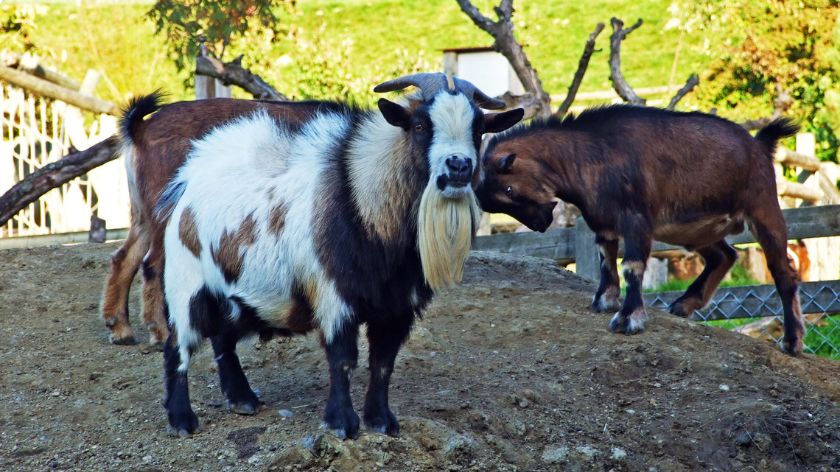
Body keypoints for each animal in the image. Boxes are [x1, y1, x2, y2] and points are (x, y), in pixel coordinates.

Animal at [120, 74, 524, 438]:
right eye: (421, 124)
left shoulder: (398, 307)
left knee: (223, 338)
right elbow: (342, 359)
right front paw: (342, 423)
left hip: (233, 290)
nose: (458, 166)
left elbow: (383, 362)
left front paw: (381, 421)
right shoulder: (335, 295)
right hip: (186, 283)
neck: (361, 200)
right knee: (178, 346)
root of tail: (188, 180)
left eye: (478, 128)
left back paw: (242, 399)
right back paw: (181, 420)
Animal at [476, 106, 804, 354]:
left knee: (783, 272)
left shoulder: (636, 221)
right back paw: (684, 304)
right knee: (725, 255)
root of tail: (759, 144)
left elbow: (631, 266)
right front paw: (604, 301)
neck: (588, 153)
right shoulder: (603, 223)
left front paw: (627, 319)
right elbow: (605, 260)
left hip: (763, 207)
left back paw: (792, 341)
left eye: (509, 189)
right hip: (696, 230)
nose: (541, 223)